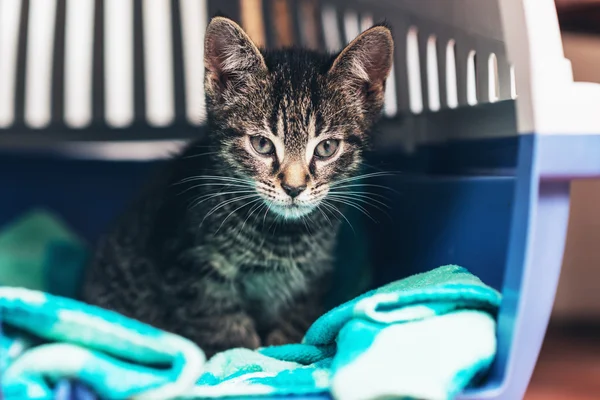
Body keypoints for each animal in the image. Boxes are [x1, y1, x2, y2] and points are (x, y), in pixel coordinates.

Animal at [81, 17, 394, 358]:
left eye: (326, 148)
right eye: (261, 144)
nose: (294, 187)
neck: (280, 236)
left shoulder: (310, 282)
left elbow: (293, 326)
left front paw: (284, 351)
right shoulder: (194, 272)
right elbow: (225, 330)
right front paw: (245, 358)